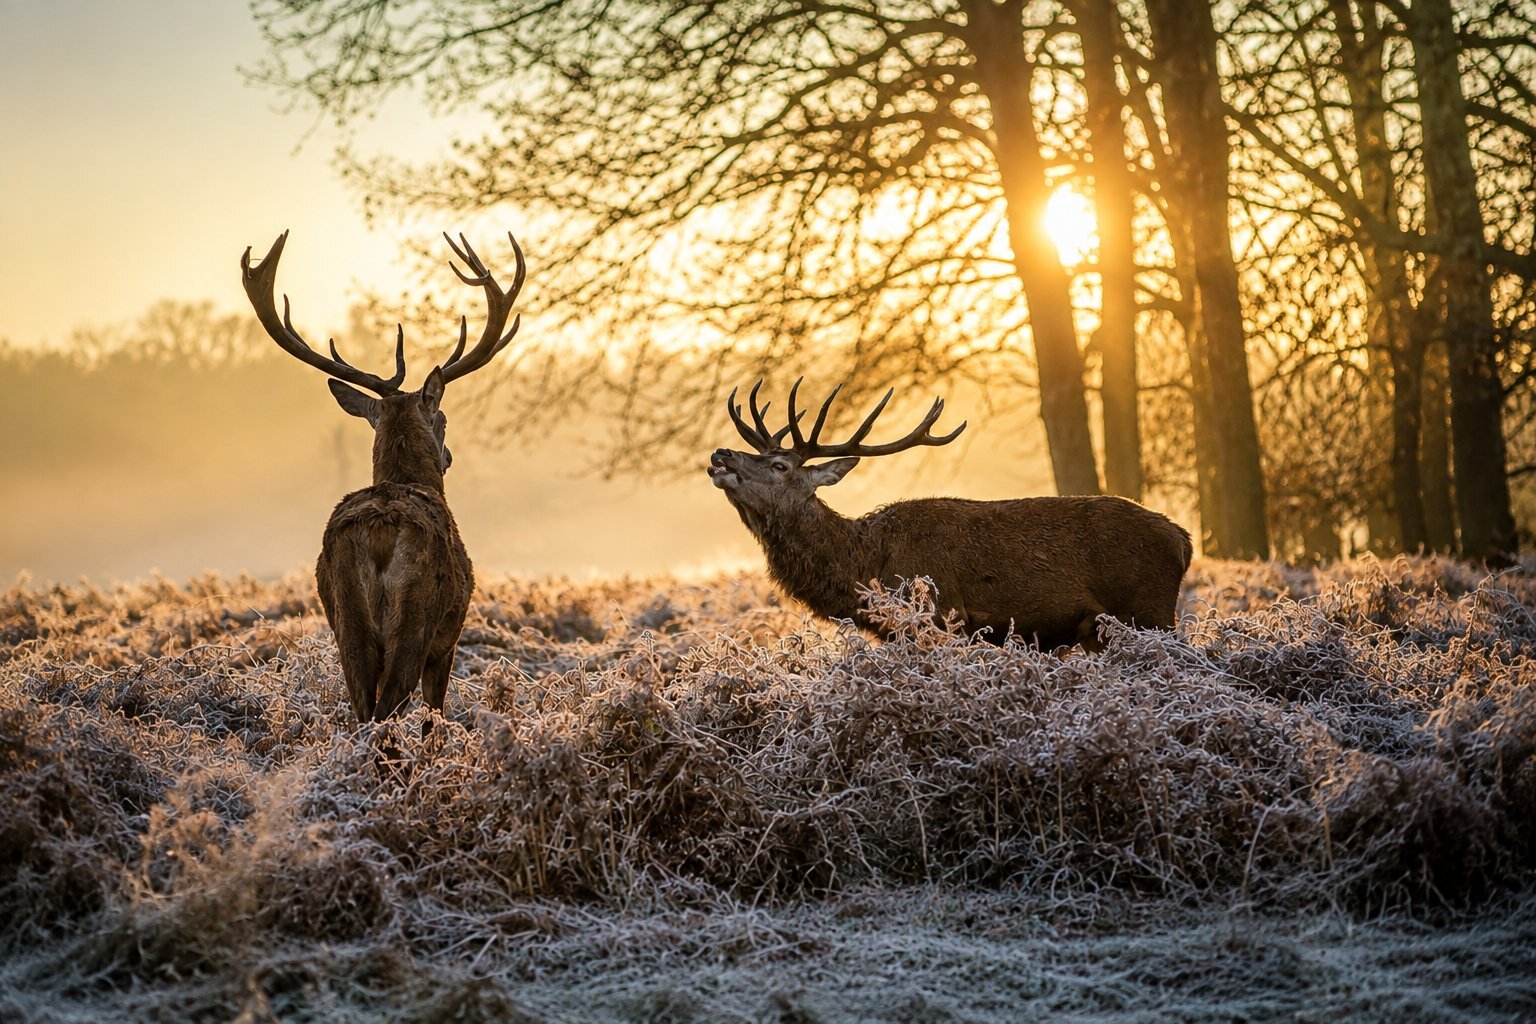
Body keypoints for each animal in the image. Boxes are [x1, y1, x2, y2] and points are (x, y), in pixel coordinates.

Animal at [240, 229, 526, 724]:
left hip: (345, 619)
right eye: (442, 419)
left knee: (362, 710)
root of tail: (379, 530)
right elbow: (435, 717)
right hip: (417, 617)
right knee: (389, 708)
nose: (449, 456)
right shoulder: (448, 640)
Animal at [707, 380, 1193, 649]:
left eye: (779, 465)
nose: (721, 454)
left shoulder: (941, 617)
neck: (867, 567)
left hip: (1148, 610)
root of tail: (1183, 540)